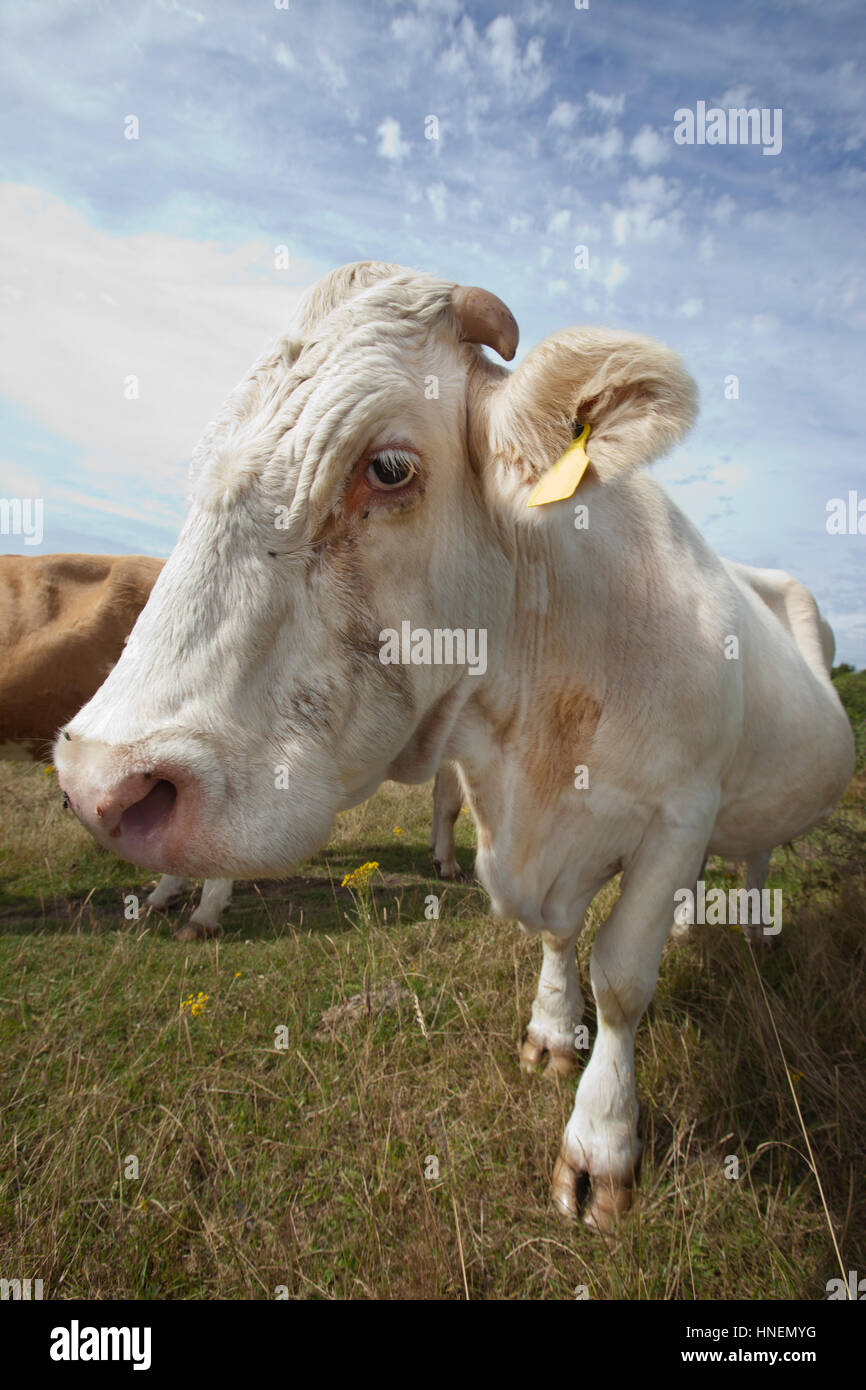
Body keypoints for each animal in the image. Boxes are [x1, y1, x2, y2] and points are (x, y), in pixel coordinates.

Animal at [55, 265, 861, 1234]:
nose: (99, 781)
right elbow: (558, 936)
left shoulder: (680, 810)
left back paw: (757, 931)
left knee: (758, 851)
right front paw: (551, 1031)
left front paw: (601, 1144)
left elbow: (623, 978)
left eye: (389, 466)